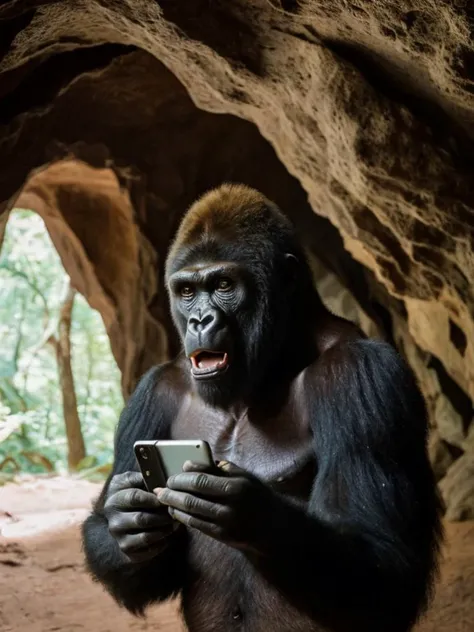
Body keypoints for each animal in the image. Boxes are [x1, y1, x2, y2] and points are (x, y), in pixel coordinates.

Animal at [82, 183, 444, 632]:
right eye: (187, 292)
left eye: (223, 284)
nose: (199, 320)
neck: (280, 357)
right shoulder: (152, 391)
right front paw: (126, 517)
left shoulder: (364, 374)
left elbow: (386, 557)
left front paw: (251, 514)